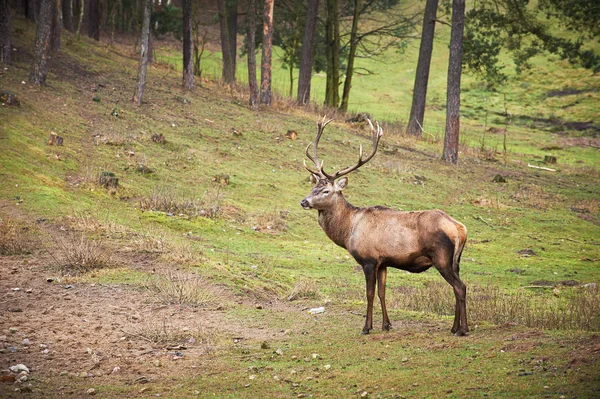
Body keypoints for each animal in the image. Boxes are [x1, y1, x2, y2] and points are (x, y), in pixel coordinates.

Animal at [300, 117, 468, 336]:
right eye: (314, 187)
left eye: (326, 190)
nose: (304, 201)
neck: (348, 230)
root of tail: (460, 229)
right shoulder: (383, 262)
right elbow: (382, 292)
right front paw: (386, 325)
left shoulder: (369, 260)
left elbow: (370, 293)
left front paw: (366, 327)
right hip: (456, 261)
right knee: (457, 287)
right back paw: (455, 327)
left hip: (442, 258)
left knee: (460, 287)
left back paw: (462, 329)